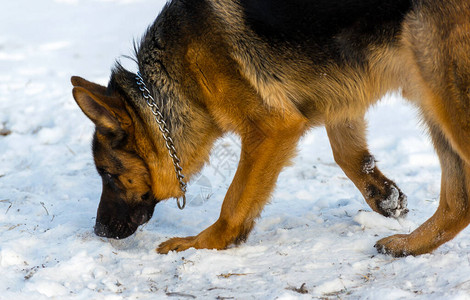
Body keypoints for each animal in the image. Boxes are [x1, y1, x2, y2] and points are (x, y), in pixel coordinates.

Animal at [71, 0, 470, 258]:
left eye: (108, 175)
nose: (99, 230)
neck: (175, 79)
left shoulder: (271, 128)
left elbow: (235, 200)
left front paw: (204, 243)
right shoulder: (339, 93)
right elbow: (346, 153)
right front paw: (383, 194)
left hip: (443, 96)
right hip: (431, 94)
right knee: (459, 201)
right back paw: (410, 245)